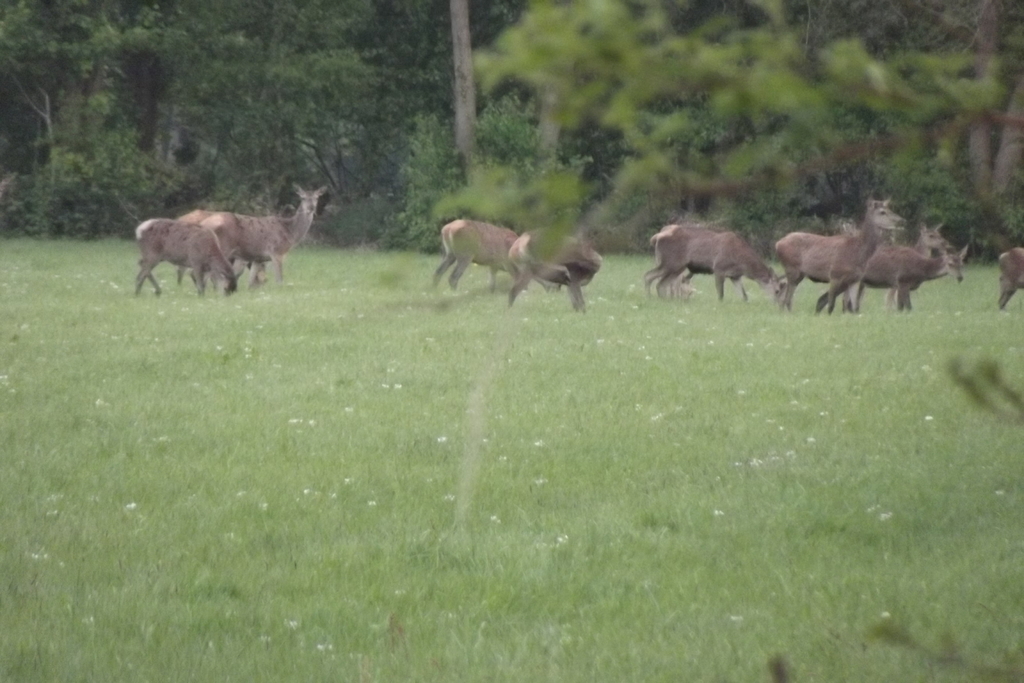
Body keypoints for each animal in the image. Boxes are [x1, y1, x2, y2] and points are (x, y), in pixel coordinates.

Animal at [188, 185, 323, 286]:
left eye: (316, 198)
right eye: (303, 198)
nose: (311, 208)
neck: (290, 233)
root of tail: (203, 224)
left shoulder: (258, 258)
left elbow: (252, 283)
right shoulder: (277, 251)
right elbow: (279, 280)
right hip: (222, 247)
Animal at [643, 223, 778, 303]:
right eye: (777, 290)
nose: (777, 303)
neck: (743, 265)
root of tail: (656, 238)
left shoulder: (735, 276)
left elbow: (744, 296)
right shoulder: (719, 268)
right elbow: (720, 294)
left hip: (677, 267)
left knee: (660, 282)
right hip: (670, 263)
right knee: (650, 276)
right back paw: (652, 298)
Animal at [774, 198, 905, 313]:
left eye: (889, 209)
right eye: (882, 212)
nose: (901, 220)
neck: (858, 253)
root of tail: (777, 244)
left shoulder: (855, 280)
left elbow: (853, 307)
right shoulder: (834, 275)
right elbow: (831, 305)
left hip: (800, 274)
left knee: (785, 297)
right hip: (792, 269)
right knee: (785, 298)